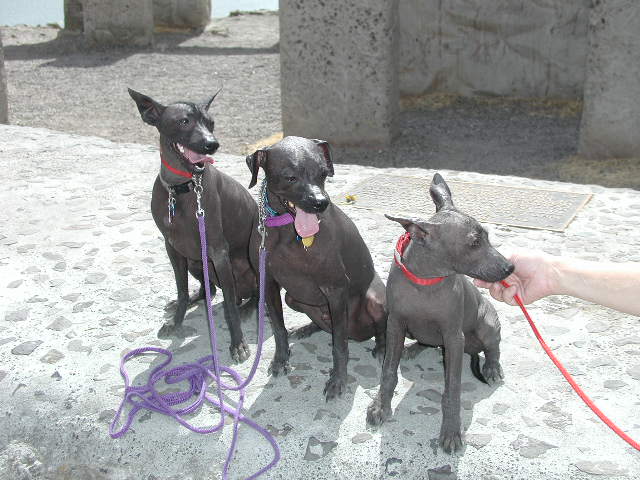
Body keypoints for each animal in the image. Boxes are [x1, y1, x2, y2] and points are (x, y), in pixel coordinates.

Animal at [127, 88, 258, 362]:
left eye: (212, 123)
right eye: (184, 121)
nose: (212, 144)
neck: (182, 188)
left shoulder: (218, 252)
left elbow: (230, 308)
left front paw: (238, 343)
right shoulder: (173, 250)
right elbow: (182, 289)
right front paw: (177, 321)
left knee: (251, 295)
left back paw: (247, 306)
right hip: (195, 263)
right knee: (210, 290)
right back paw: (196, 300)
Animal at [245, 136, 384, 402]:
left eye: (323, 173)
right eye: (290, 177)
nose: (321, 203)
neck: (287, 231)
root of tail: (358, 333)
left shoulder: (336, 290)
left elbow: (339, 345)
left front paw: (338, 380)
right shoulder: (268, 285)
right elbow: (278, 328)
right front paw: (281, 360)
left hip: (375, 301)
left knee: (377, 331)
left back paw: (382, 347)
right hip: (292, 298)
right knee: (322, 324)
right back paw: (306, 328)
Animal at [368, 172, 512, 454]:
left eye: (487, 237)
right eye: (474, 242)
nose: (510, 268)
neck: (426, 282)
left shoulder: (454, 337)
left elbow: (452, 389)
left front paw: (451, 431)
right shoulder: (395, 325)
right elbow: (388, 371)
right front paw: (381, 406)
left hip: (487, 324)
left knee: (494, 347)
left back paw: (492, 367)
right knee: (427, 343)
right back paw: (413, 348)